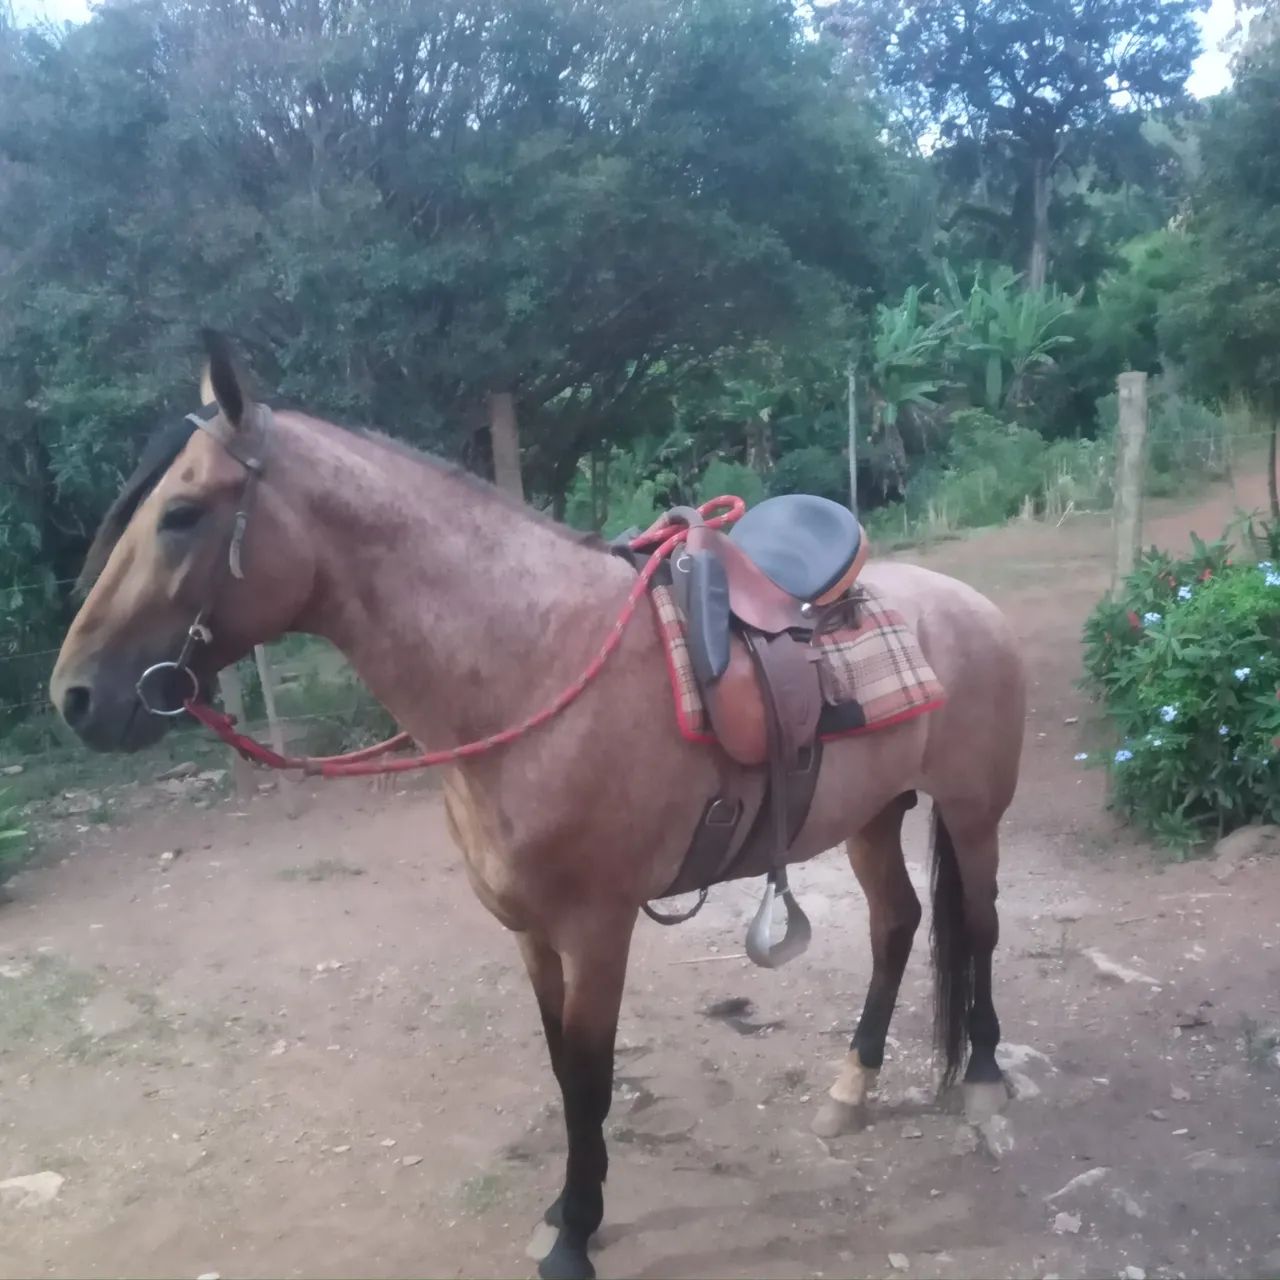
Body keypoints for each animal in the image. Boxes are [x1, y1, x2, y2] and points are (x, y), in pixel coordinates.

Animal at [50, 341, 1025, 1280]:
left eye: (181, 515)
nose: (76, 697)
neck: (534, 665)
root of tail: (969, 606)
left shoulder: (597, 929)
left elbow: (591, 1077)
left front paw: (576, 1238)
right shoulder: (529, 931)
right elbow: (560, 1068)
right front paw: (564, 1208)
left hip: (973, 812)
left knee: (977, 929)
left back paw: (981, 1080)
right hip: (871, 817)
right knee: (896, 926)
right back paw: (850, 1088)